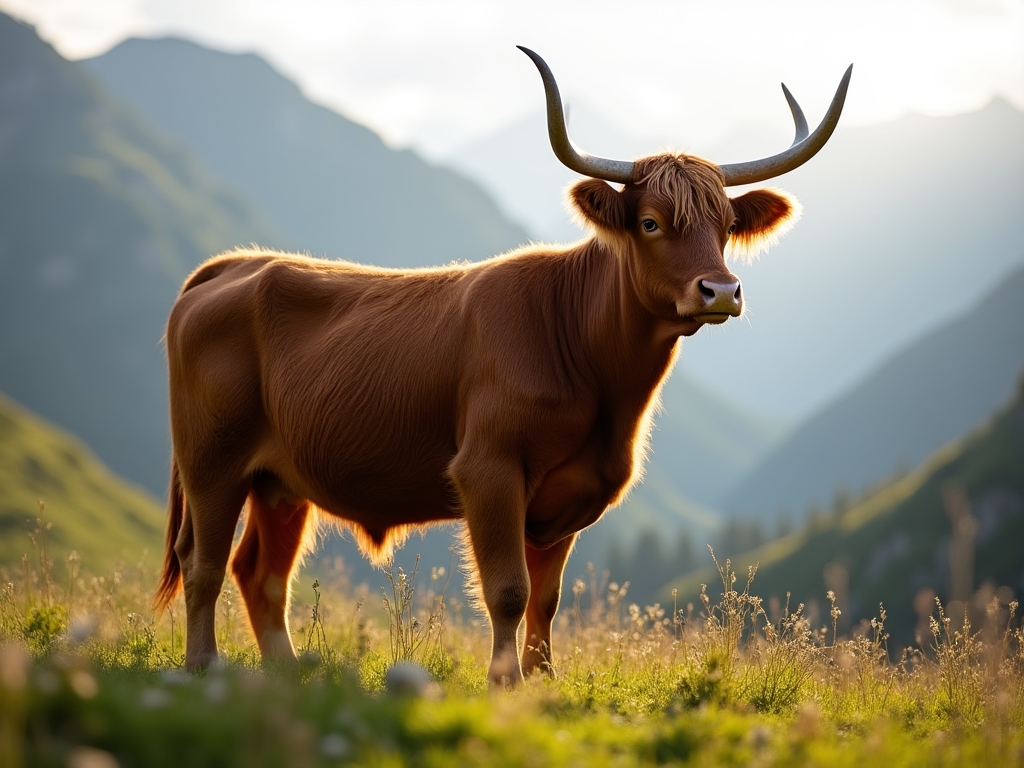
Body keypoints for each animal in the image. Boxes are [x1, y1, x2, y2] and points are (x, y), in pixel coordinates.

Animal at [155, 47, 851, 685]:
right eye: (651, 222)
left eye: (728, 224)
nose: (721, 290)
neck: (600, 386)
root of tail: (236, 265)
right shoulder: (488, 470)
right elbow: (508, 590)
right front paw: (504, 682)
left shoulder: (572, 492)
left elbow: (547, 598)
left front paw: (541, 683)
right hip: (211, 460)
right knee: (203, 562)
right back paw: (202, 667)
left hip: (279, 480)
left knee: (260, 572)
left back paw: (288, 675)